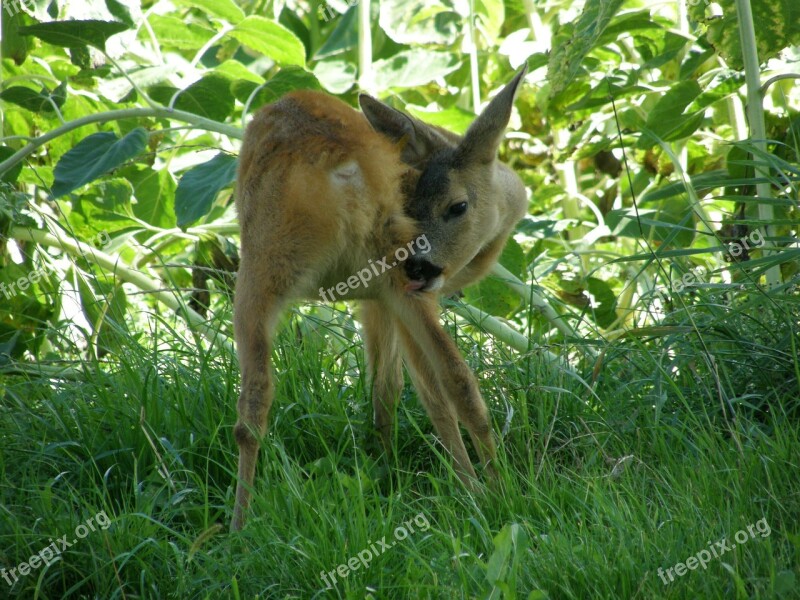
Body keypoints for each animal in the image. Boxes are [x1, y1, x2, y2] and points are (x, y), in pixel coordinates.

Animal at [231, 68, 528, 532]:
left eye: (457, 207)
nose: (423, 267)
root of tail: (343, 165)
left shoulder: (381, 297)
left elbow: (393, 386)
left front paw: (388, 465)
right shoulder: (393, 295)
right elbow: (400, 387)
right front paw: (391, 466)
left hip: (275, 264)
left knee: (254, 404)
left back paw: (238, 526)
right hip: (374, 272)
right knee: (456, 378)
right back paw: (490, 491)